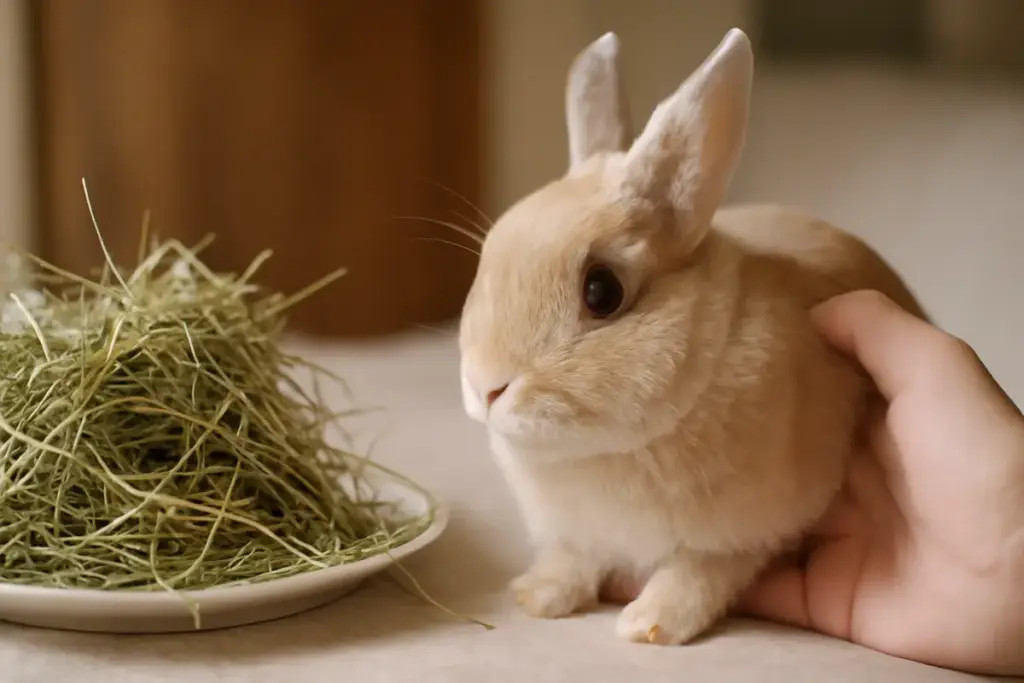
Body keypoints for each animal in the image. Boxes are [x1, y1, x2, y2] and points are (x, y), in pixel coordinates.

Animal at [457, 27, 926, 646]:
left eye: (601, 291)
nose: (486, 387)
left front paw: (649, 626)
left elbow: (697, 575)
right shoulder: (576, 534)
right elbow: (573, 559)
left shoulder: (736, 537)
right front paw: (536, 597)